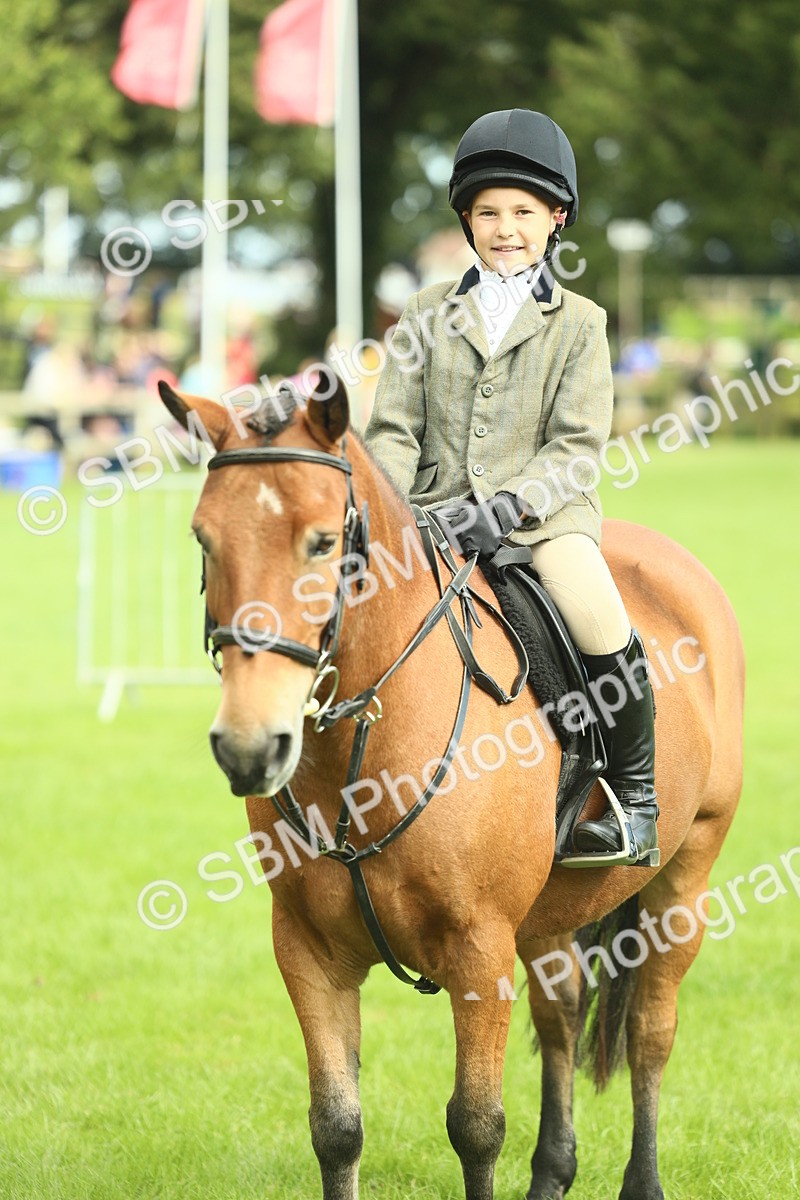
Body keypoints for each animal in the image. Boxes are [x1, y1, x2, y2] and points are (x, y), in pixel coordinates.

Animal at [157, 372, 744, 1200]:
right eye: (205, 539)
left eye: (322, 542)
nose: (248, 746)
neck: (363, 750)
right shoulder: (307, 952)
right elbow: (336, 1129)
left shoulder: (478, 950)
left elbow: (475, 1126)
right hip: (551, 913)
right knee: (562, 1015)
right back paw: (553, 1173)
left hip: (686, 874)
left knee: (650, 1032)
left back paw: (643, 1181)